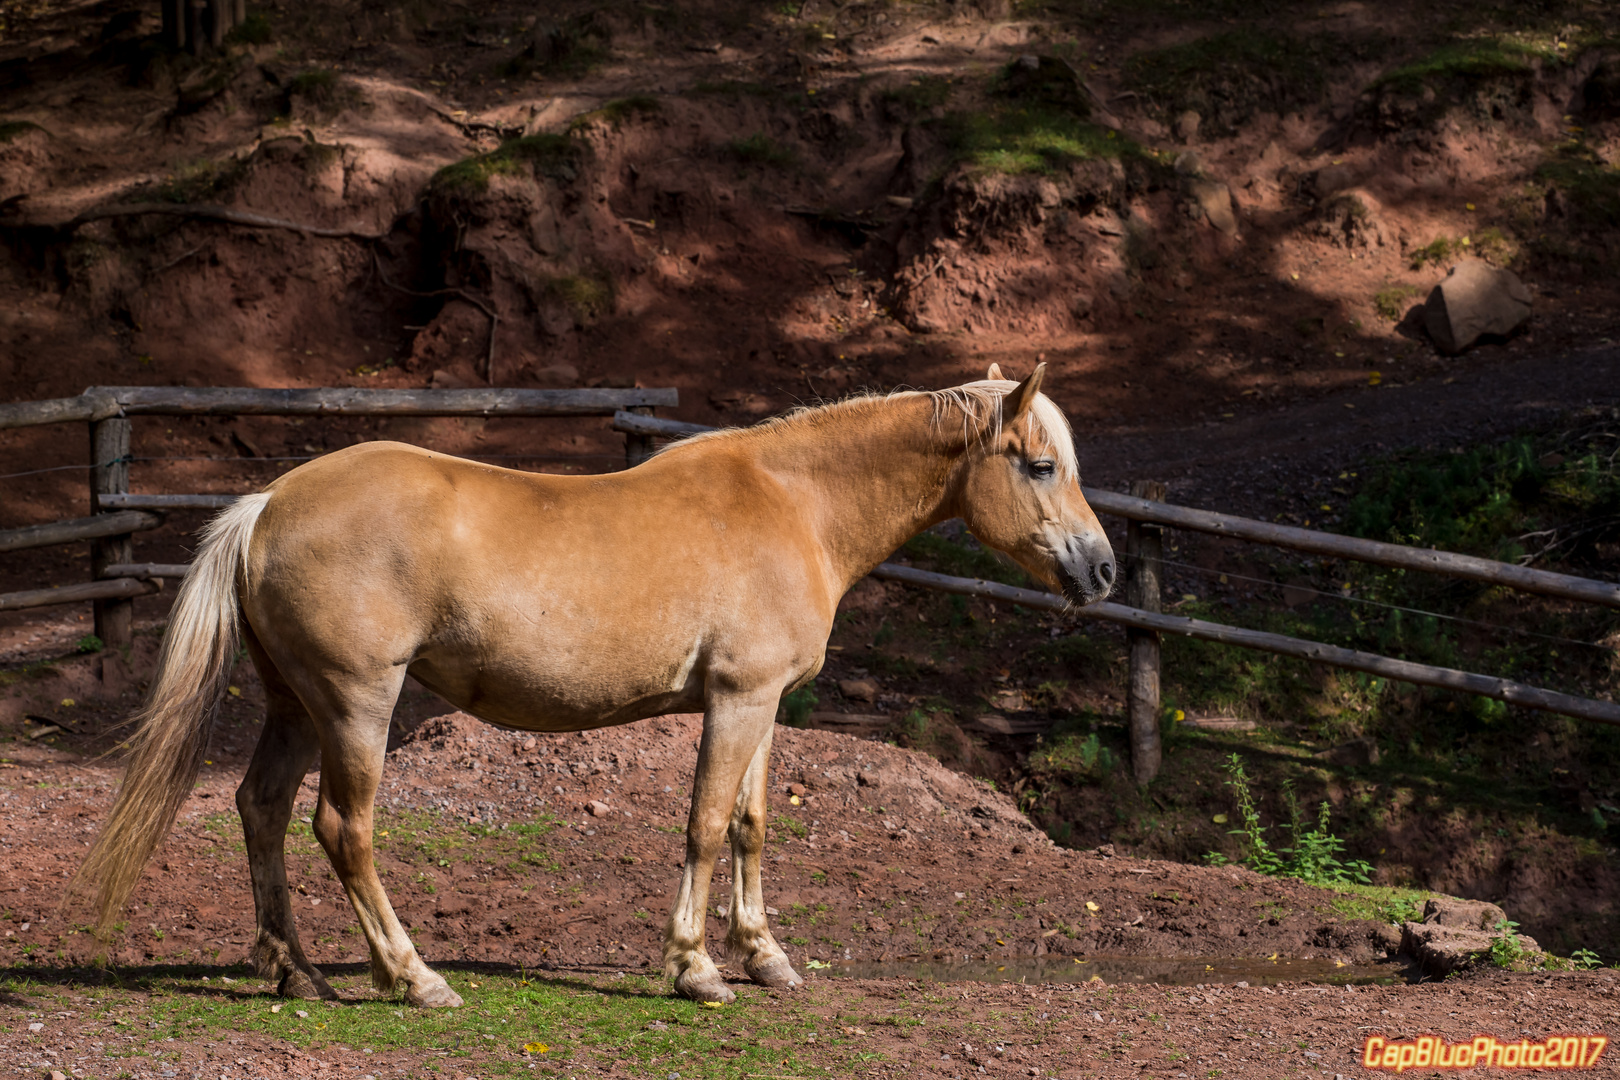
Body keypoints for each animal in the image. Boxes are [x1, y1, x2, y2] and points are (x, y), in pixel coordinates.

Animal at [72, 362, 1114, 1003]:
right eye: (1039, 464)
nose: (1102, 570)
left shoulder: (766, 704)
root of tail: (267, 502)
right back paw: (413, 977)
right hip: (357, 707)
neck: (792, 503)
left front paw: (766, 957)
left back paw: (298, 974)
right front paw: (695, 968)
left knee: (260, 809)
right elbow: (703, 825)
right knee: (343, 829)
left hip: (295, 706)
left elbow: (750, 825)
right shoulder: (735, 701)